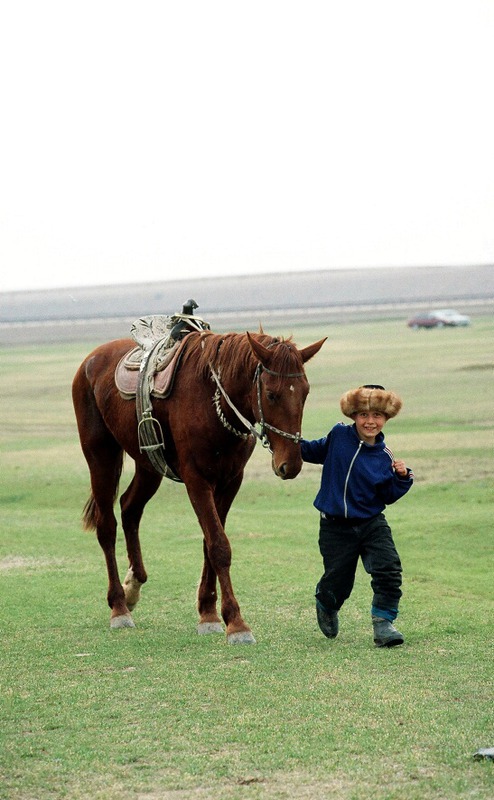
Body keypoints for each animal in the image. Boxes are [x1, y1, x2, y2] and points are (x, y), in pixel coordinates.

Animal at [72, 328, 324, 640]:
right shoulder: (197, 481)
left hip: (149, 463)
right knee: (106, 525)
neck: (214, 403)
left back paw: (134, 586)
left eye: (305, 392)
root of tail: (90, 361)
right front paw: (236, 623)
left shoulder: (230, 481)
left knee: (130, 507)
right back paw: (119, 606)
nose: (290, 464)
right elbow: (219, 546)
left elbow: (209, 543)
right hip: (101, 456)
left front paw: (208, 613)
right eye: (271, 394)